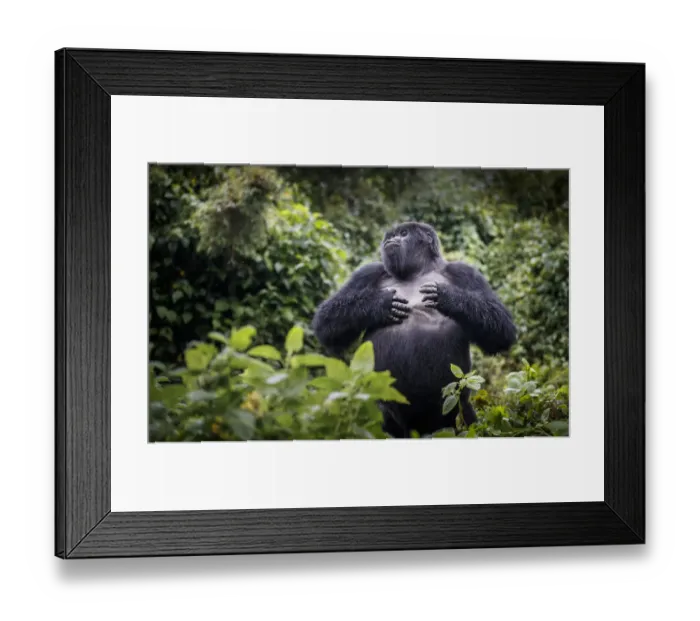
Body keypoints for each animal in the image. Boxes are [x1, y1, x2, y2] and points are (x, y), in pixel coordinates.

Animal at [311, 221, 517, 438]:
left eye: (403, 233)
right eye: (391, 236)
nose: (391, 240)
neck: (418, 271)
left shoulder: (466, 272)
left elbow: (501, 327)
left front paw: (448, 297)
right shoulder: (367, 273)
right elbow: (327, 321)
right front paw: (380, 303)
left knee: (463, 417)